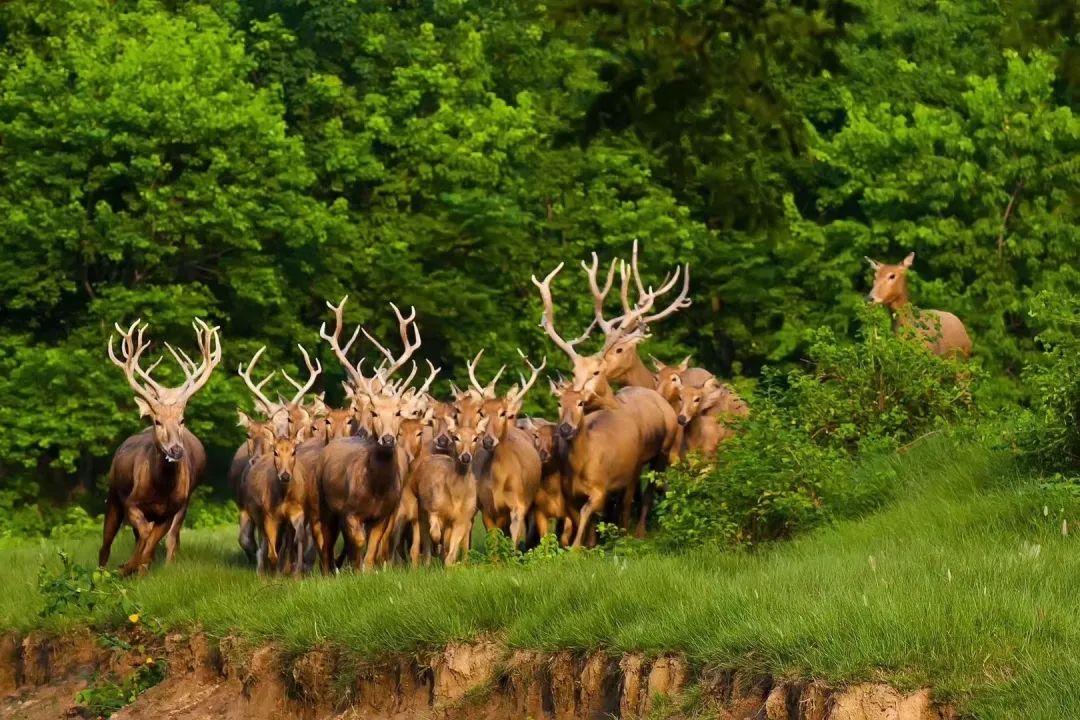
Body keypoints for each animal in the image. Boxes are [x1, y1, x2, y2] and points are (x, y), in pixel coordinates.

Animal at [98, 317, 221, 578]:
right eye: (157, 421)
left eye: (182, 420)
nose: (176, 450)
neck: (160, 489)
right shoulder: (132, 503)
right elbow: (144, 534)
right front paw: (126, 567)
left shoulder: (171, 509)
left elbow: (153, 540)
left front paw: (135, 567)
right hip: (113, 495)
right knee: (105, 545)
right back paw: (102, 573)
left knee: (166, 538)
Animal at [468, 349, 544, 546]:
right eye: (481, 412)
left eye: (503, 412)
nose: (488, 440)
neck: (499, 482)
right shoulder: (487, 508)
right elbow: (494, 544)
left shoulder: (519, 504)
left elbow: (513, 542)